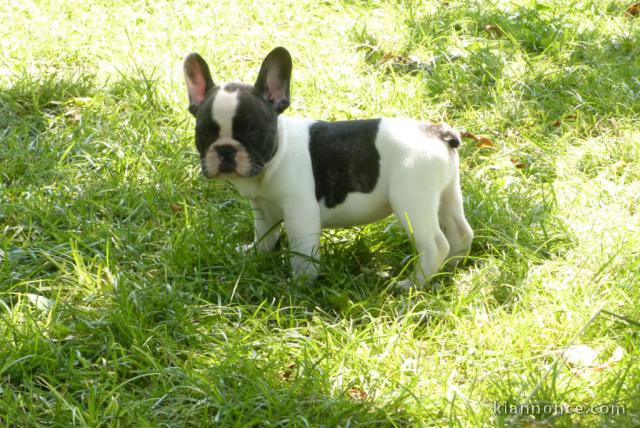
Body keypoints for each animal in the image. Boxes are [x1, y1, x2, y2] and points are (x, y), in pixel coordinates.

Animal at [182, 47, 472, 284]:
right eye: (205, 132)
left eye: (252, 131)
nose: (225, 150)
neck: (277, 154)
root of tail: (436, 131)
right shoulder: (263, 208)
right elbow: (264, 235)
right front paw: (254, 254)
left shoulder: (300, 212)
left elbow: (302, 251)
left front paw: (298, 285)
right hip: (447, 192)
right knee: (460, 231)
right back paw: (451, 266)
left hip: (412, 199)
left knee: (435, 243)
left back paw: (413, 283)